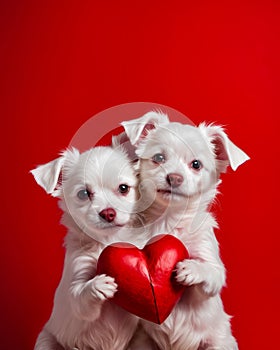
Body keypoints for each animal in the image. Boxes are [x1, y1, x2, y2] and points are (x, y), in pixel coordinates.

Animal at [30, 146, 142, 350]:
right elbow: (80, 297)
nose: (108, 213)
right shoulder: (78, 274)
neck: (107, 241)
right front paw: (97, 285)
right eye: (83, 194)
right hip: (47, 340)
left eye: (124, 188)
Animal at [122, 112, 249, 350]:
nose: (174, 177)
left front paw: (192, 269)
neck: (168, 221)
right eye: (159, 158)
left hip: (218, 344)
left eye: (196, 164)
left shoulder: (213, 266)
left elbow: (211, 272)